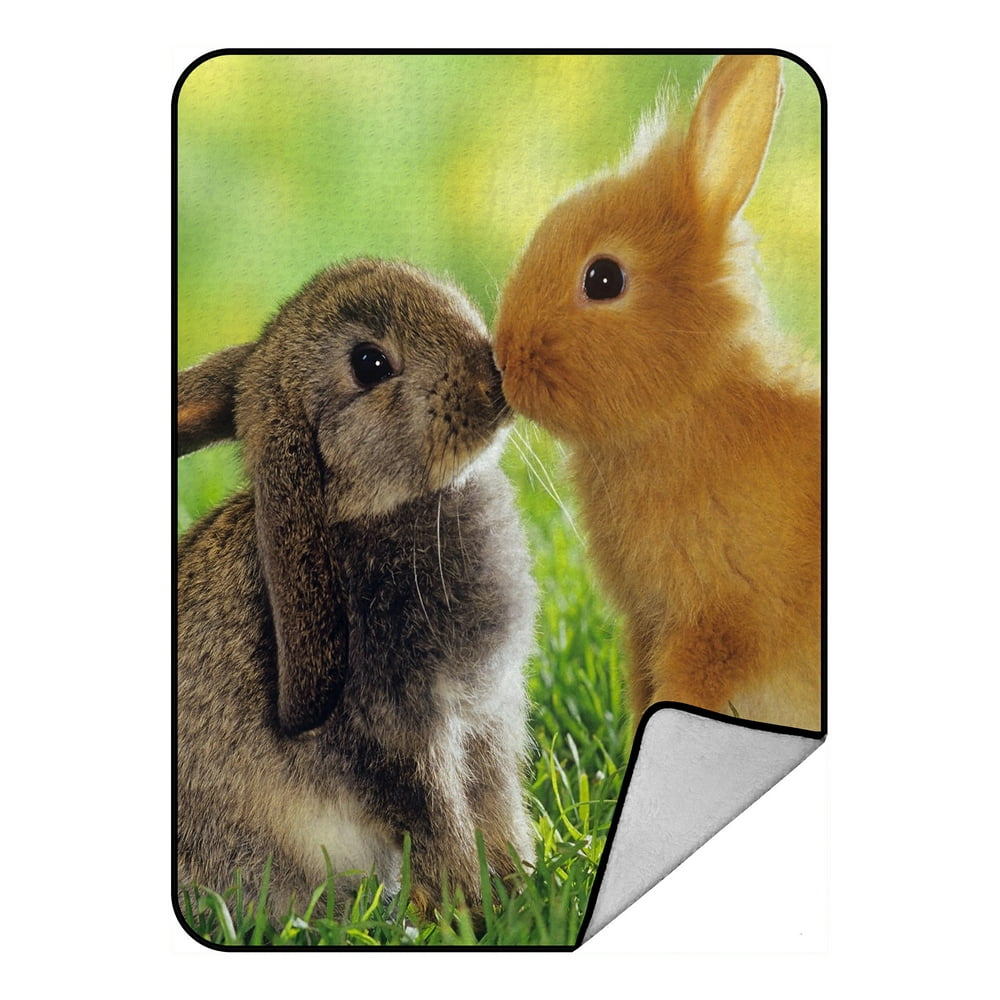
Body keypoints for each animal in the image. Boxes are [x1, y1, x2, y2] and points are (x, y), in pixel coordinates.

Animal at [176, 257, 538, 922]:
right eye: (370, 364)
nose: (492, 378)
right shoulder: (401, 730)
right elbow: (441, 821)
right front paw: (472, 909)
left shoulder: (485, 718)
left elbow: (497, 810)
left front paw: (518, 893)